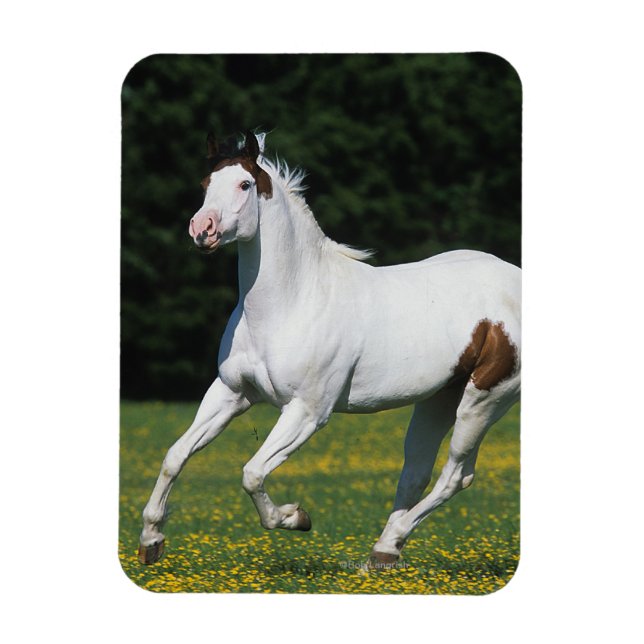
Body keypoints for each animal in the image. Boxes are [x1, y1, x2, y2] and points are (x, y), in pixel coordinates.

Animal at [138, 130, 521, 567]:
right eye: (206, 184)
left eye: (245, 184)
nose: (203, 229)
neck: (294, 301)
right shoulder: (231, 393)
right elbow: (175, 456)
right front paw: (151, 540)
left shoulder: (307, 411)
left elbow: (252, 473)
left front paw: (296, 517)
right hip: (438, 398)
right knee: (416, 470)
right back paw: (384, 550)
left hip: (484, 401)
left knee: (456, 474)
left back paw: (390, 543)